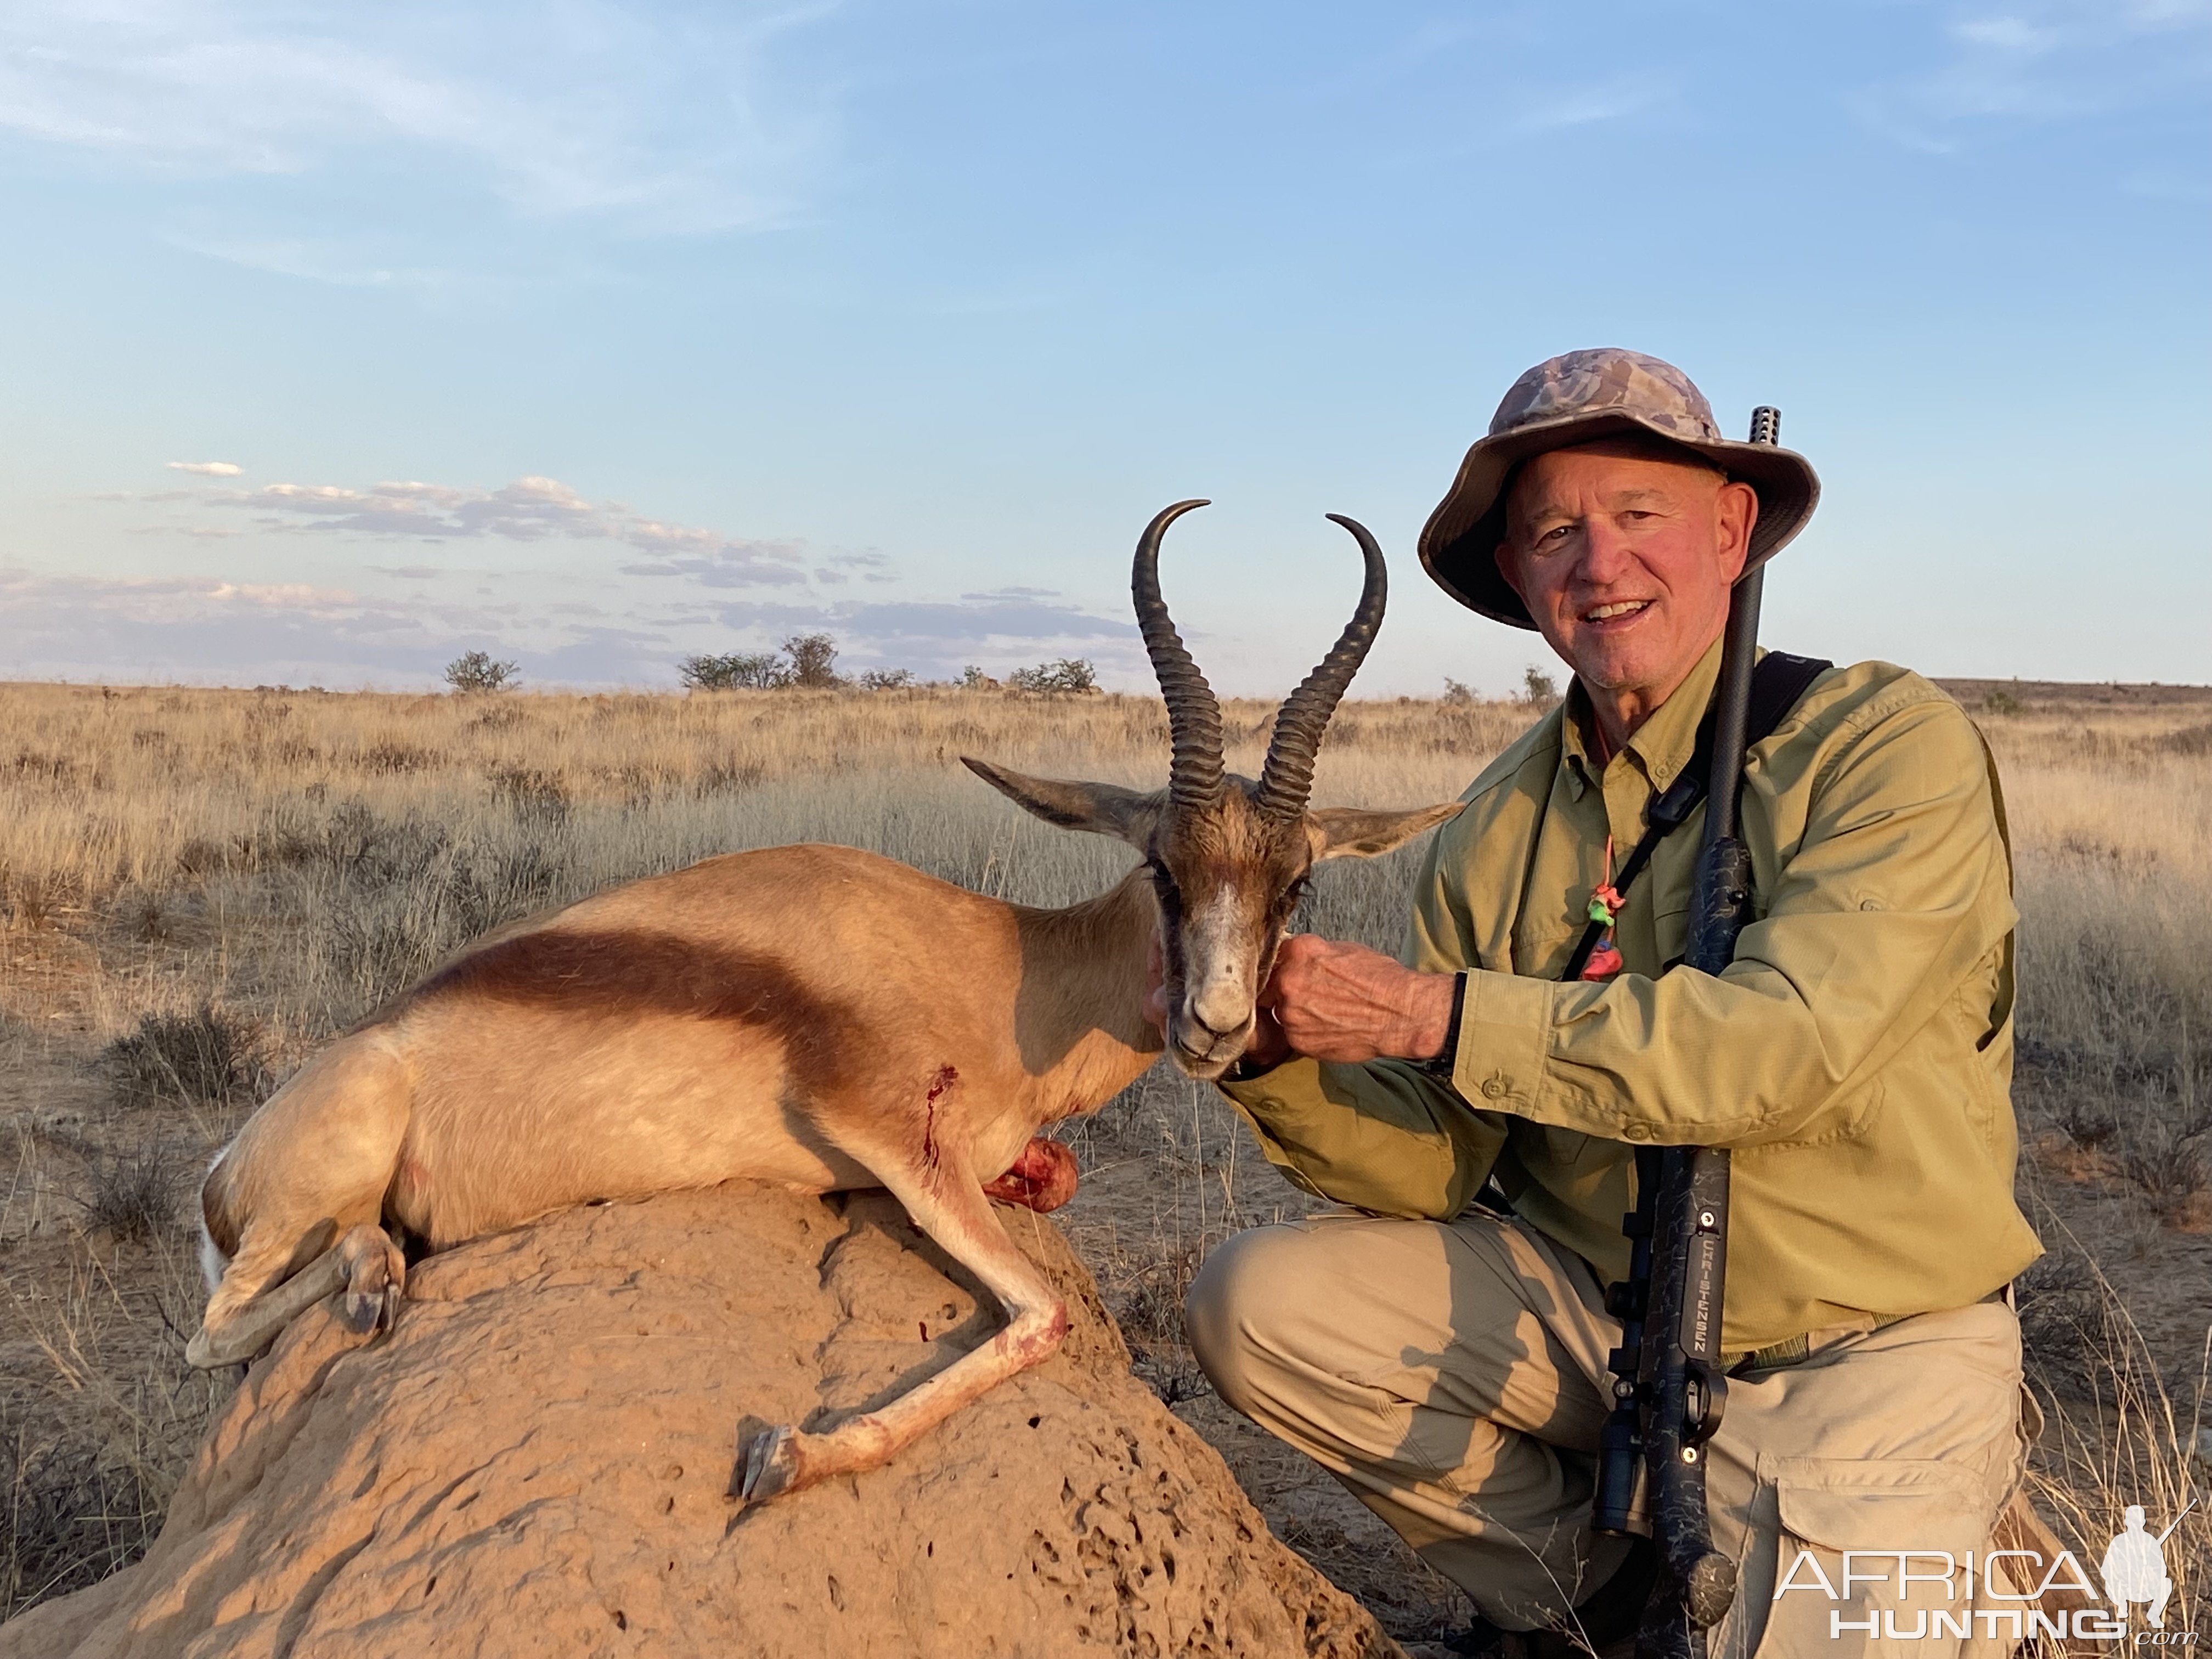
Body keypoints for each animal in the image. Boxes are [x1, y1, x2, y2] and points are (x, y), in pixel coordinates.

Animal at [194, 504, 1469, 1504]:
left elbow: (1053, 1193)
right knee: (219, 1337)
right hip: (329, 1163)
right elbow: (1040, 1316)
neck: (997, 964)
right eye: (1163, 864)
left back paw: (382, 1264)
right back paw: (375, 1281)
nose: (1215, 1026)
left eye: (1295, 884)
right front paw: (786, 1455)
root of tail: (222, 1163)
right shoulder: (891, 1140)